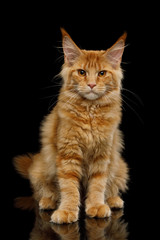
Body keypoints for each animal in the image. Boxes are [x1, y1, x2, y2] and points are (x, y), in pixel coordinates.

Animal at [13, 28, 129, 225]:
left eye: (102, 73)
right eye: (82, 72)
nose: (91, 84)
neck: (90, 112)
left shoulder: (102, 155)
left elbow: (98, 184)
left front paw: (97, 206)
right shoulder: (68, 154)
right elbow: (69, 188)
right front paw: (66, 210)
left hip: (119, 167)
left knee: (112, 187)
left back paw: (113, 200)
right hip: (40, 169)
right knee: (43, 191)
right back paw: (48, 201)